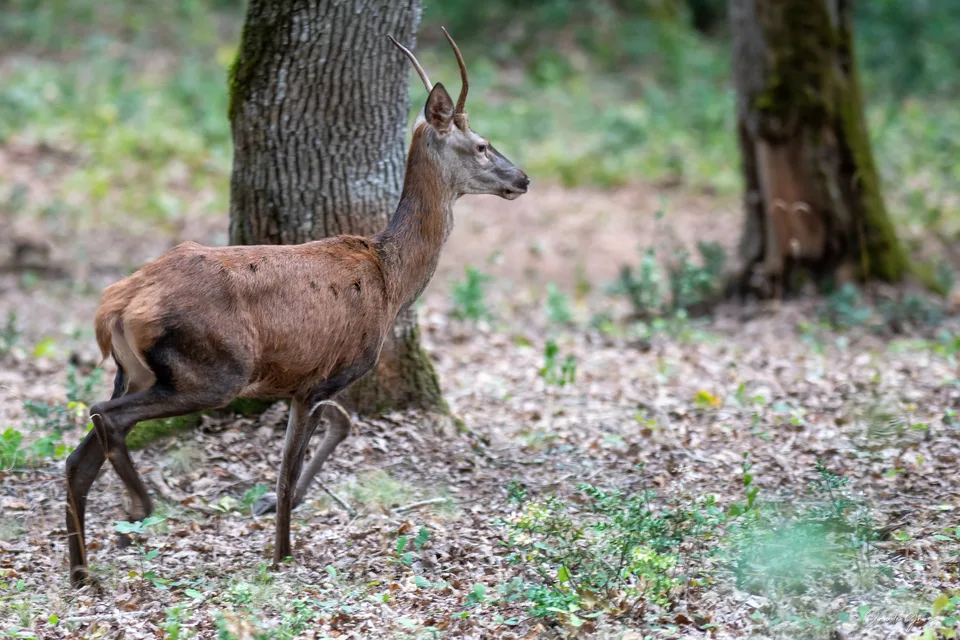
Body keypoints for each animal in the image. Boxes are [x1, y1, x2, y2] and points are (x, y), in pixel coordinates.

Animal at [64, 28, 529, 587]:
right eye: (481, 145)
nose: (523, 178)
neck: (391, 279)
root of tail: (114, 307)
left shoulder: (305, 378)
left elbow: (339, 428)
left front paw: (273, 517)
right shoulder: (321, 377)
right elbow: (289, 466)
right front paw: (282, 554)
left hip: (133, 371)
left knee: (78, 456)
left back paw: (81, 570)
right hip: (213, 369)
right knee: (104, 415)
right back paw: (139, 508)